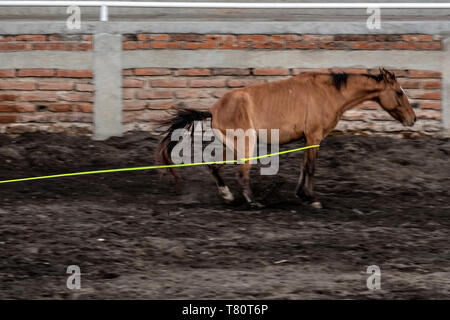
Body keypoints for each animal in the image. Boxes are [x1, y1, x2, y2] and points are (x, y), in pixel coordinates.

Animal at [156, 68, 416, 209]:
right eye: (399, 92)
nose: (412, 119)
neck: (329, 93)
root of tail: (213, 109)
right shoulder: (314, 137)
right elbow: (310, 168)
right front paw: (312, 199)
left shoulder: (308, 139)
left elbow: (303, 167)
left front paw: (302, 195)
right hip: (246, 146)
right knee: (241, 173)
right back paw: (253, 202)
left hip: (233, 146)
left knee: (214, 166)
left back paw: (228, 197)